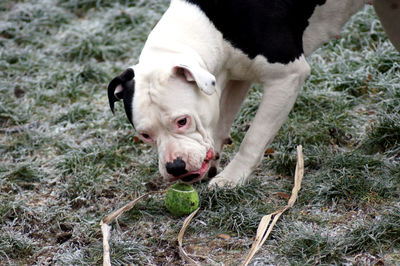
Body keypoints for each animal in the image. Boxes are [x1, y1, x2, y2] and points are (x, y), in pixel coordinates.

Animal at [107, 0, 400, 187]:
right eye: (145, 135)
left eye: (182, 121)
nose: (175, 167)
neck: (208, 25)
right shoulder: (235, 75)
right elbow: (221, 121)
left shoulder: (287, 77)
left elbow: (253, 138)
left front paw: (231, 178)